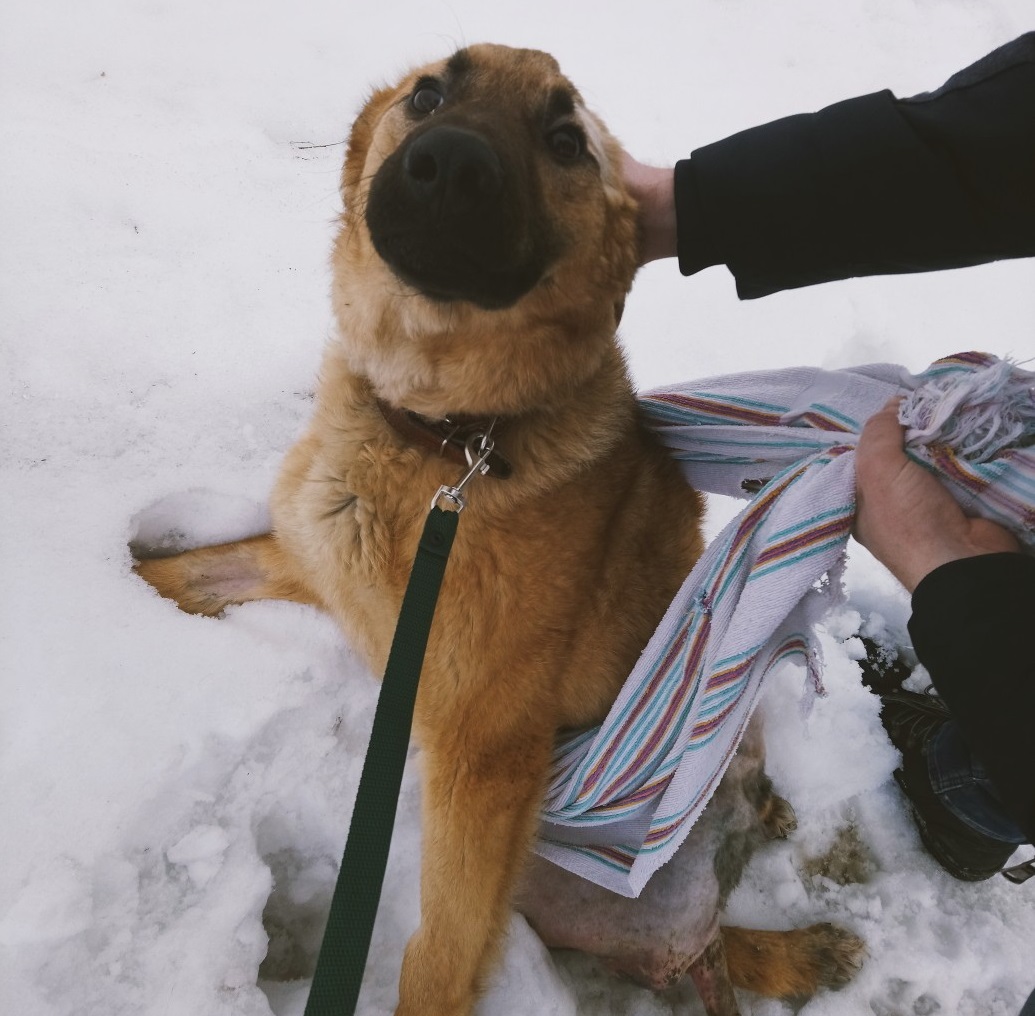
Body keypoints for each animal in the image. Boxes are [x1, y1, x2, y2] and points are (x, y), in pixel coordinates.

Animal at [135, 41, 865, 1016]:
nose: (449, 166)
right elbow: (186, 575)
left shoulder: (484, 757)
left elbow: (439, 955)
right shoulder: (311, 563)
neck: (447, 436)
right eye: (427, 93)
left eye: (565, 142)